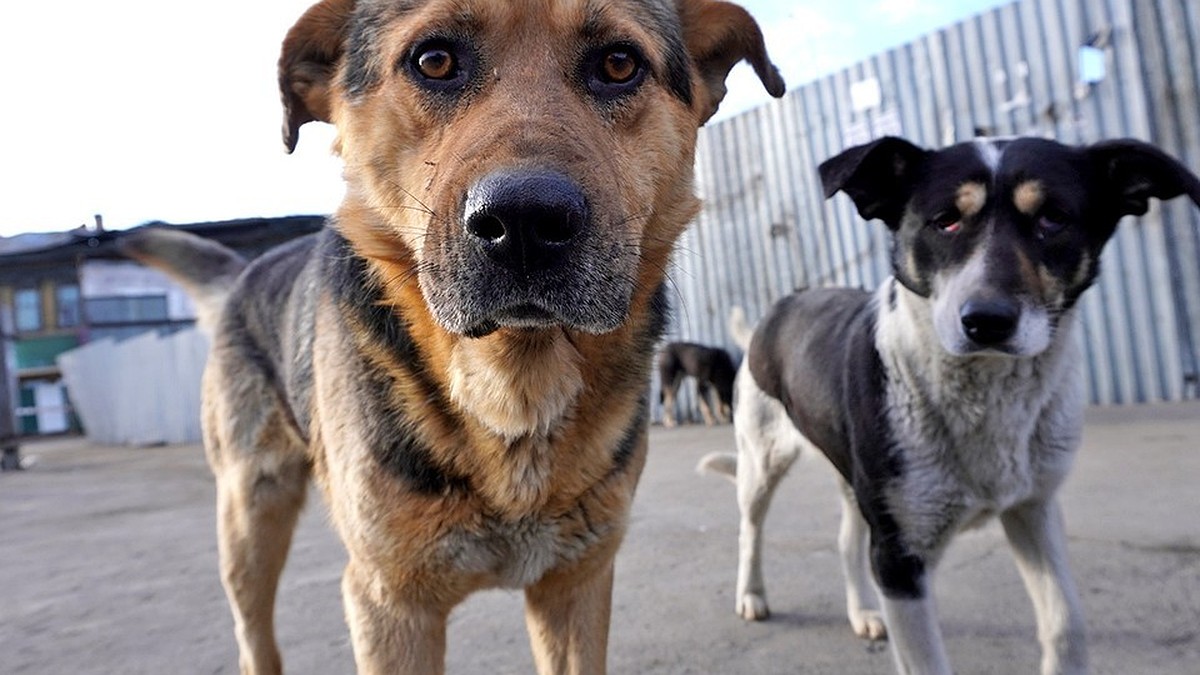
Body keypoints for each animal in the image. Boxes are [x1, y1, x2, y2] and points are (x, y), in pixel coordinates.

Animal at [121, 1, 787, 672]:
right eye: (434, 60)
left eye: (619, 64)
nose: (525, 223)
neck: (513, 390)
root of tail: (247, 270)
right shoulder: (390, 606)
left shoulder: (576, 585)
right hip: (250, 520)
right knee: (254, 634)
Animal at [700, 133, 1200, 667]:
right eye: (945, 220)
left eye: (1053, 218)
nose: (986, 321)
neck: (986, 392)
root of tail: (776, 310)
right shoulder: (900, 560)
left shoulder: (1034, 508)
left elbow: (1067, 623)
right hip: (761, 461)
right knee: (751, 529)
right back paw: (751, 596)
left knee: (846, 540)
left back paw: (862, 612)